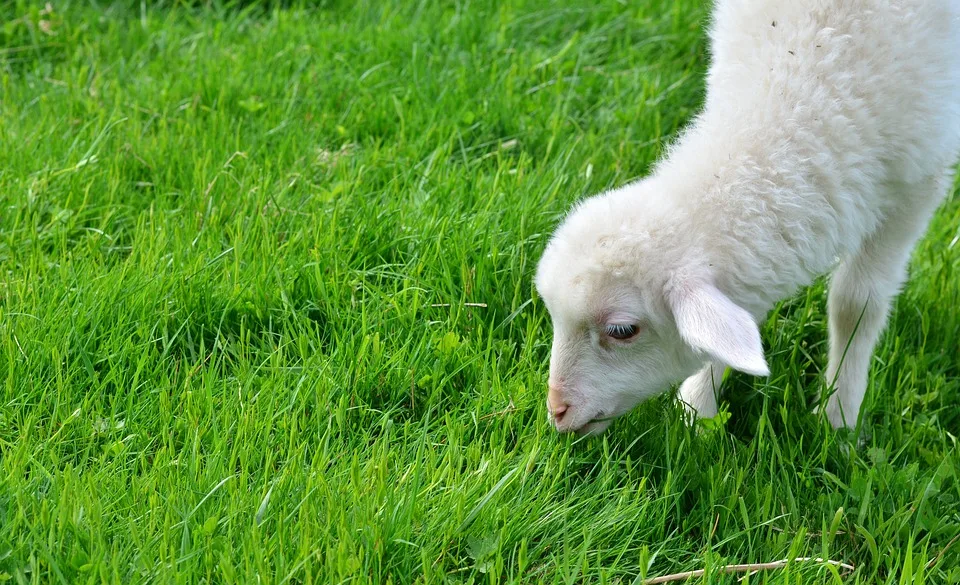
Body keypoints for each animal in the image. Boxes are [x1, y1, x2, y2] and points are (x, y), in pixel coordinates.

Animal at [532, 0, 960, 436]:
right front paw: (697, 411)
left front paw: (838, 418)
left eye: (622, 331)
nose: (557, 410)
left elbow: (857, 303)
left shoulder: (918, 182)